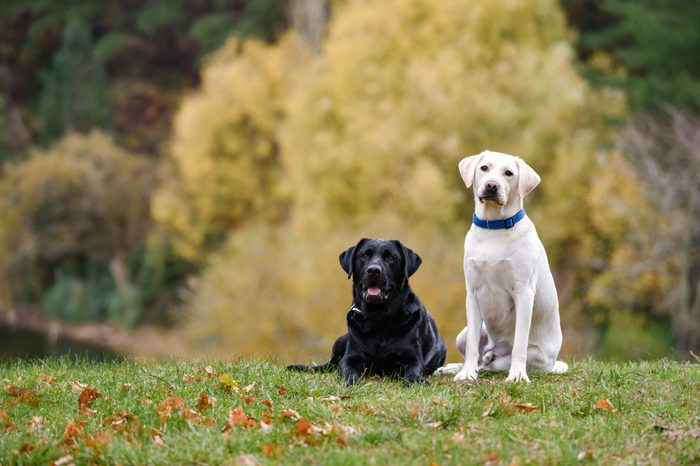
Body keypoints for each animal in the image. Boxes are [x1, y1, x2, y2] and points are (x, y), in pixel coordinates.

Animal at [288, 238, 446, 384]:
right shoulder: (350, 357)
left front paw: (415, 381)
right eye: (364, 255)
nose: (373, 270)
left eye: (391, 257)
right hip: (341, 341)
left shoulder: (412, 357)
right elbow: (347, 369)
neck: (379, 317)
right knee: (329, 365)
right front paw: (351, 381)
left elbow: (415, 370)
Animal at [442, 149, 568, 382]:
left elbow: (519, 343)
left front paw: (517, 375)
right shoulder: (472, 293)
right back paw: (456, 367)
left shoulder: (524, 292)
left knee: (496, 363)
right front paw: (467, 374)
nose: (492, 185)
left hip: (537, 355)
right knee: (479, 356)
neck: (494, 228)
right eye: (484, 168)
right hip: (463, 334)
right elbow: (472, 346)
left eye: (508, 173)